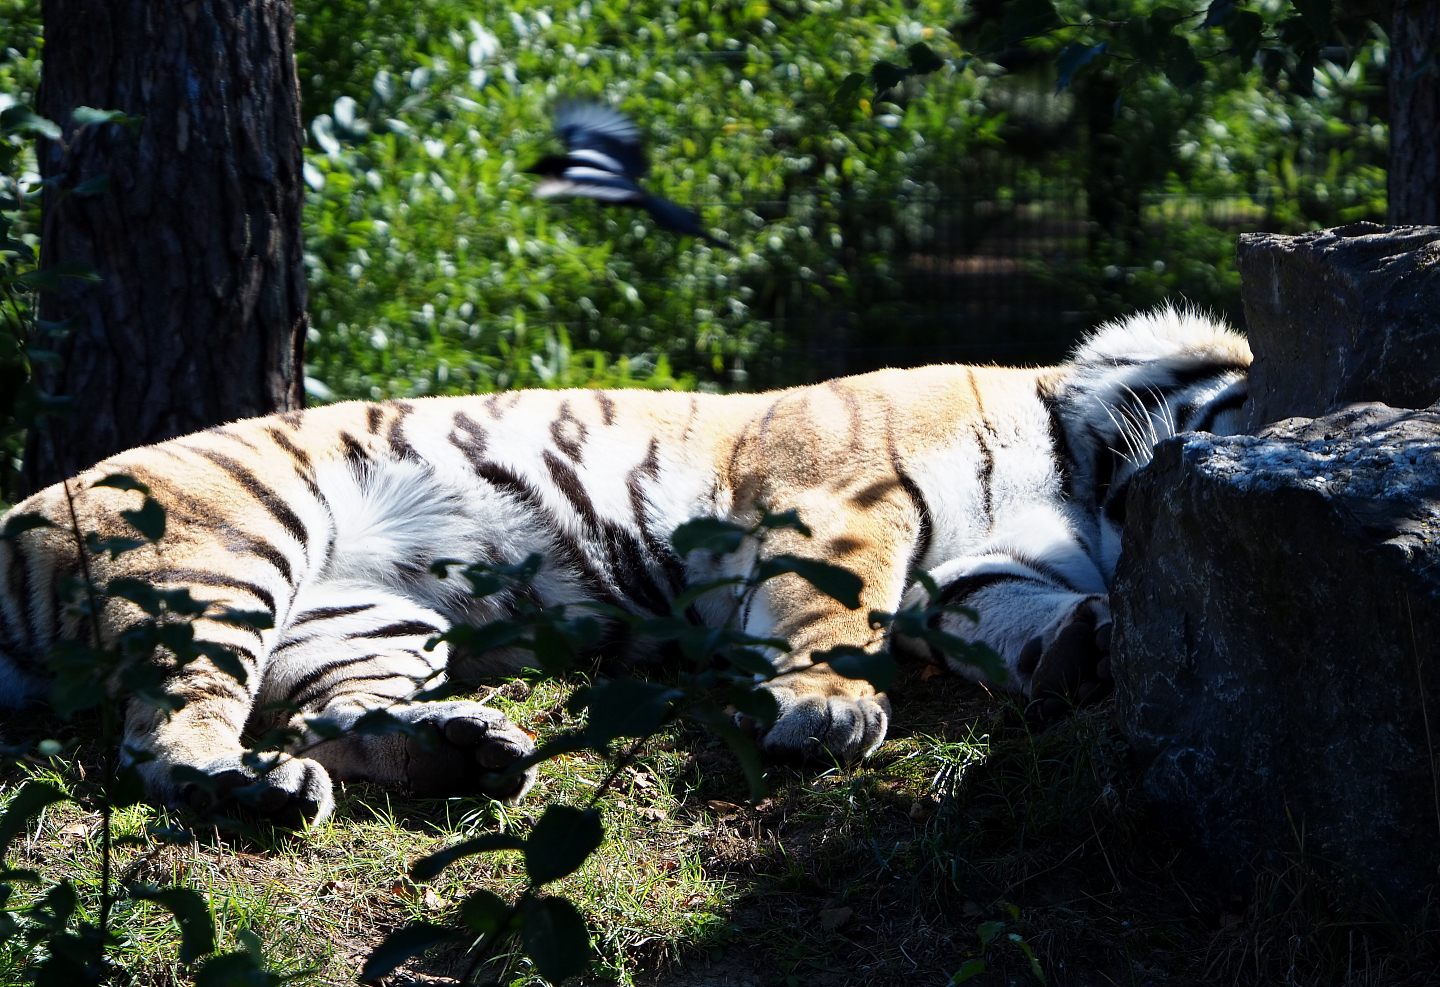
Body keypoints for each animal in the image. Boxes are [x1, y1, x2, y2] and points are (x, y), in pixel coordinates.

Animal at [0, 305, 1250, 826]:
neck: (1080, 479)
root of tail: (18, 511)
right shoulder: (843, 498)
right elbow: (833, 618)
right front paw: (827, 710)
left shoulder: (973, 570)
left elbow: (1017, 617)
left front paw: (1088, 646)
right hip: (228, 555)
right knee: (164, 741)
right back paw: (256, 792)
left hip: (365, 621)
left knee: (313, 716)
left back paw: (468, 751)